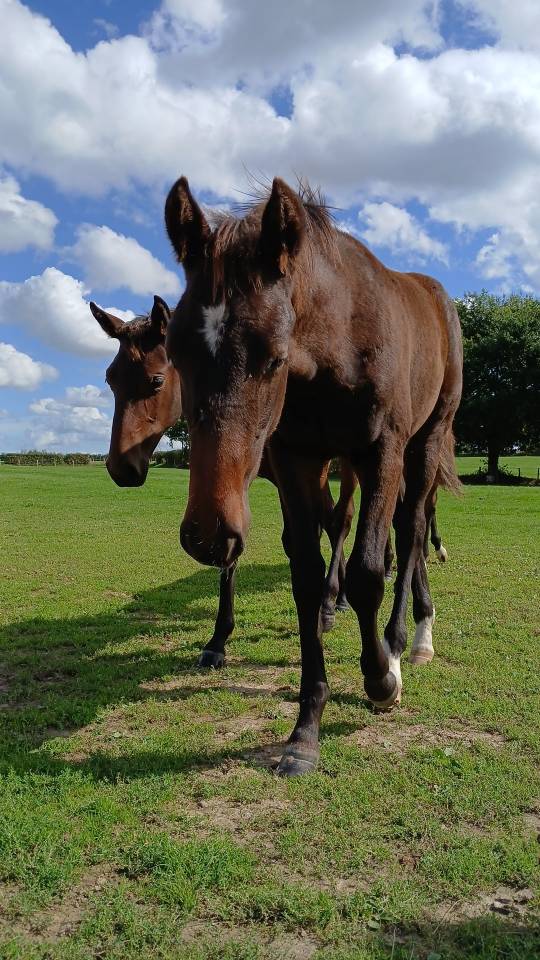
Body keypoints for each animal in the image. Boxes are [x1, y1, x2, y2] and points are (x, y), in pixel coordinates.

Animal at [89, 296, 354, 667]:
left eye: (156, 381)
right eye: (110, 379)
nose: (120, 467)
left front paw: (319, 609)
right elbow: (233, 548)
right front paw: (218, 639)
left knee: (341, 519)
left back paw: (334, 599)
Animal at [164, 175, 462, 776]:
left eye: (273, 357)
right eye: (177, 350)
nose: (208, 533)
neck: (338, 343)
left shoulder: (381, 454)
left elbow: (368, 572)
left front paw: (380, 679)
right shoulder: (296, 461)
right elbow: (305, 576)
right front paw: (305, 731)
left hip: (425, 442)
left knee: (412, 533)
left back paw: (410, 640)